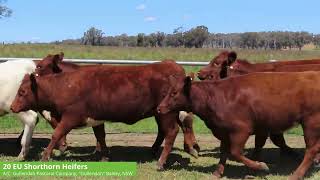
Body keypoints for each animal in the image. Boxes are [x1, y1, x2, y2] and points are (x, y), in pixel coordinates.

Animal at [10, 59, 198, 169]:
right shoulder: (96, 118)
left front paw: (45, 156)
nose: (12, 107)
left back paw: (160, 162)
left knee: (171, 132)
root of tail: (172, 64)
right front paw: (105, 156)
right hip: (161, 113)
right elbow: (100, 136)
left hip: (166, 114)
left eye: (22, 92)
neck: (64, 85)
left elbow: (56, 134)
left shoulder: (70, 117)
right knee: (166, 131)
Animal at [158, 72, 320, 180]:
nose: (159, 108)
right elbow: (224, 152)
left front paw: (260, 166)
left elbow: (235, 153)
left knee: (311, 150)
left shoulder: (241, 130)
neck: (215, 96)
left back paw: (296, 174)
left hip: (311, 123)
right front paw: (217, 172)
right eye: (167, 92)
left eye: (174, 93)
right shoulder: (223, 131)